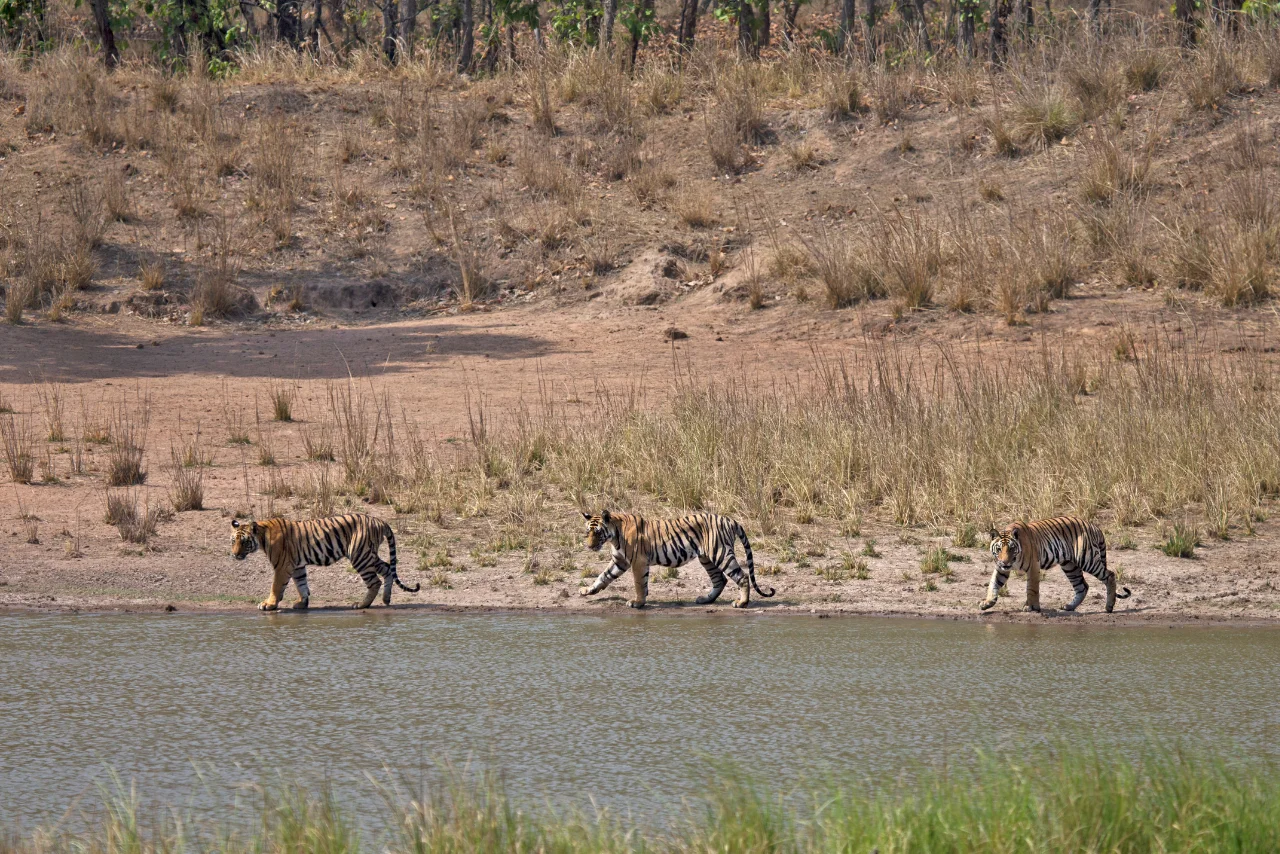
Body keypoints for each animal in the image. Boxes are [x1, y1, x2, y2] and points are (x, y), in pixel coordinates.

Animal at [230, 513, 420, 611]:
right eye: (233, 541)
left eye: (244, 542)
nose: (234, 554)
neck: (262, 536)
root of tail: (380, 520)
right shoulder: (297, 566)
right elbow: (301, 584)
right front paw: (302, 603)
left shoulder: (282, 566)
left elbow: (276, 587)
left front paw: (268, 604)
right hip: (369, 555)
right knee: (387, 569)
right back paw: (386, 599)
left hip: (360, 556)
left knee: (375, 581)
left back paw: (361, 604)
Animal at [580, 510, 775, 609]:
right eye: (587, 532)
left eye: (598, 532)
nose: (589, 547)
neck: (614, 535)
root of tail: (730, 520)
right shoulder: (620, 561)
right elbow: (603, 576)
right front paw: (587, 591)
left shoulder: (638, 562)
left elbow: (639, 583)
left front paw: (638, 602)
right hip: (707, 558)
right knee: (720, 579)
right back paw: (705, 600)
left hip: (720, 553)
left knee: (742, 576)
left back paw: (741, 603)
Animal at [980, 516, 1132, 614]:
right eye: (999, 549)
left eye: (1012, 548)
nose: (1005, 562)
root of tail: (1094, 526)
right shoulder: (1001, 569)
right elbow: (993, 584)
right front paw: (987, 603)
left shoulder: (1033, 567)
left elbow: (1032, 589)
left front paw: (1031, 607)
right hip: (1070, 566)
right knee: (1082, 586)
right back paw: (1069, 607)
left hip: (1088, 560)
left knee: (1109, 575)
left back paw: (1109, 607)